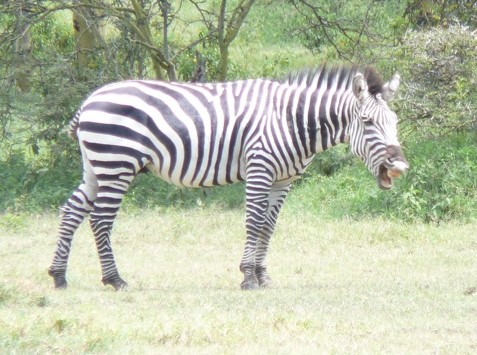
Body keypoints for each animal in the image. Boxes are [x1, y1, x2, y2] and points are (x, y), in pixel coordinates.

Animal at [47, 64, 406, 292]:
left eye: (394, 122)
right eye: (368, 122)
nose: (400, 166)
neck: (292, 120)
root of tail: (90, 100)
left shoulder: (283, 181)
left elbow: (268, 226)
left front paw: (262, 276)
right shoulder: (260, 168)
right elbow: (254, 222)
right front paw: (248, 278)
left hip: (96, 166)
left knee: (72, 211)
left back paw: (59, 276)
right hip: (117, 163)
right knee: (100, 220)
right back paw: (115, 280)